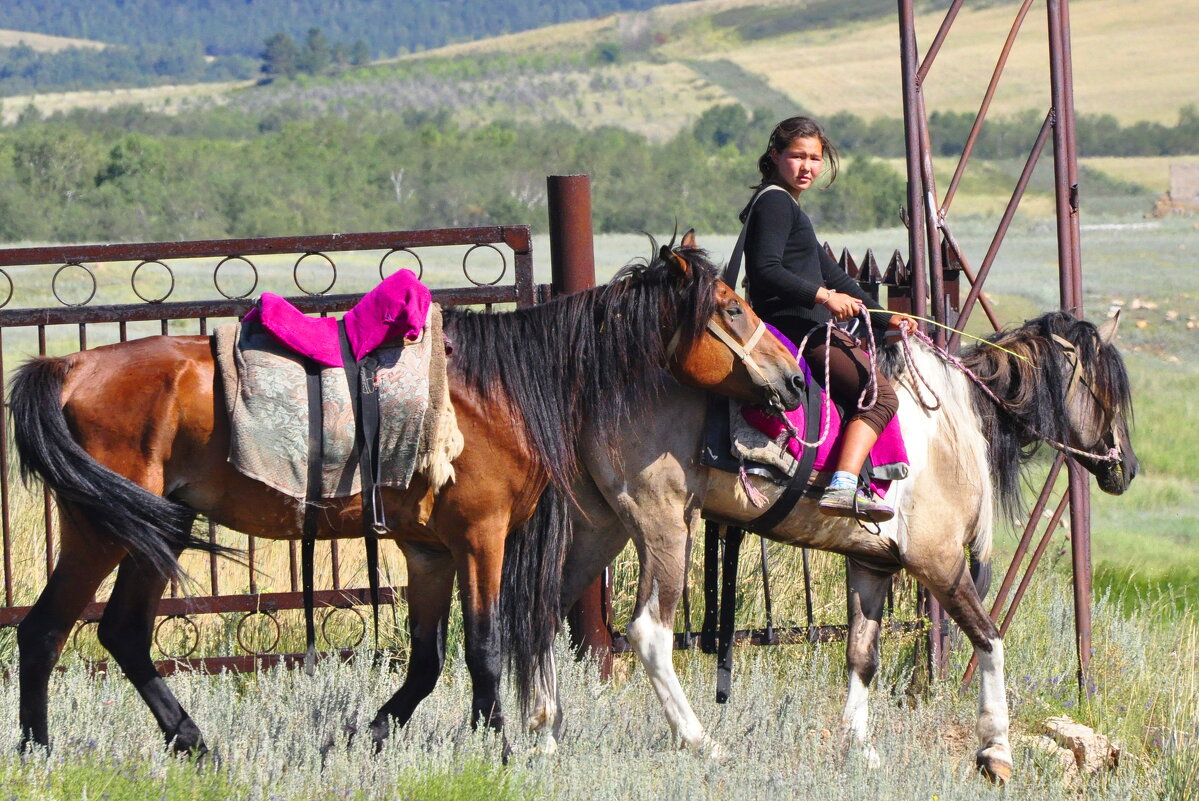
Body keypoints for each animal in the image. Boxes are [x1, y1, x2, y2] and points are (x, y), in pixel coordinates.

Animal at [9, 237, 805, 753]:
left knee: (121, 634)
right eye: (731, 310)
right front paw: (499, 747)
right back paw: (40, 751)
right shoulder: (480, 538)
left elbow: (426, 661)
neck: (498, 390)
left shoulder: (429, 552)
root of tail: (69, 366)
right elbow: (483, 649)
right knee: (45, 630)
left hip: (156, 529)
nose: (795, 379)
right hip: (101, 531)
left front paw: (369, 736)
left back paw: (193, 742)